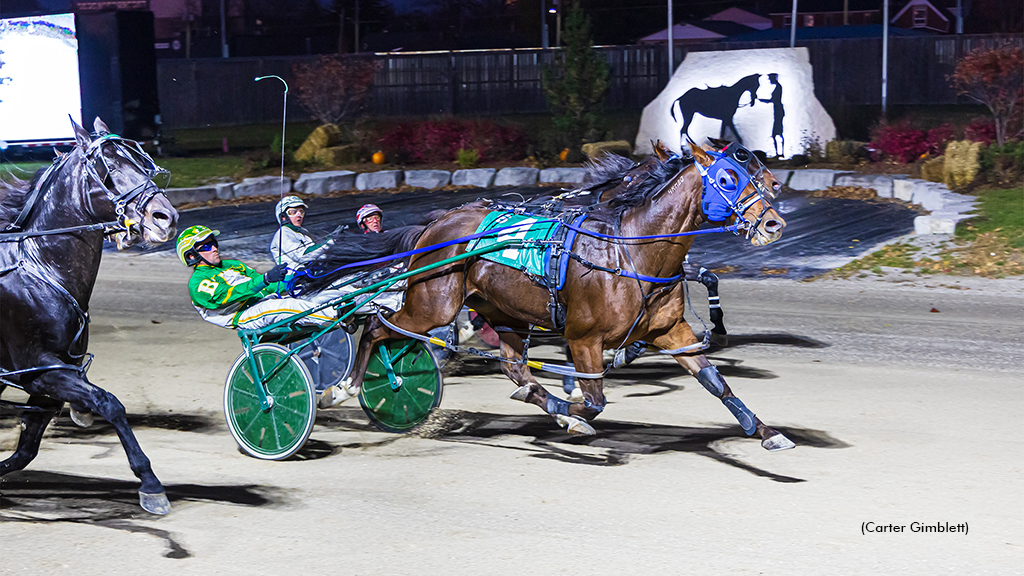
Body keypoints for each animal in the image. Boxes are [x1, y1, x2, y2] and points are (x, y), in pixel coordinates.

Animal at [335, 138, 790, 448]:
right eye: (729, 179)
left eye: (758, 174)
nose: (773, 222)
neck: (628, 250)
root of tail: (436, 223)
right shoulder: (582, 337)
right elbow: (593, 400)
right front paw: (570, 413)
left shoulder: (670, 330)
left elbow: (715, 382)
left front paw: (765, 430)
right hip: (433, 303)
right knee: (379, 326)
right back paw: (348, 387)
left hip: (503, 310)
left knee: (514, 366)